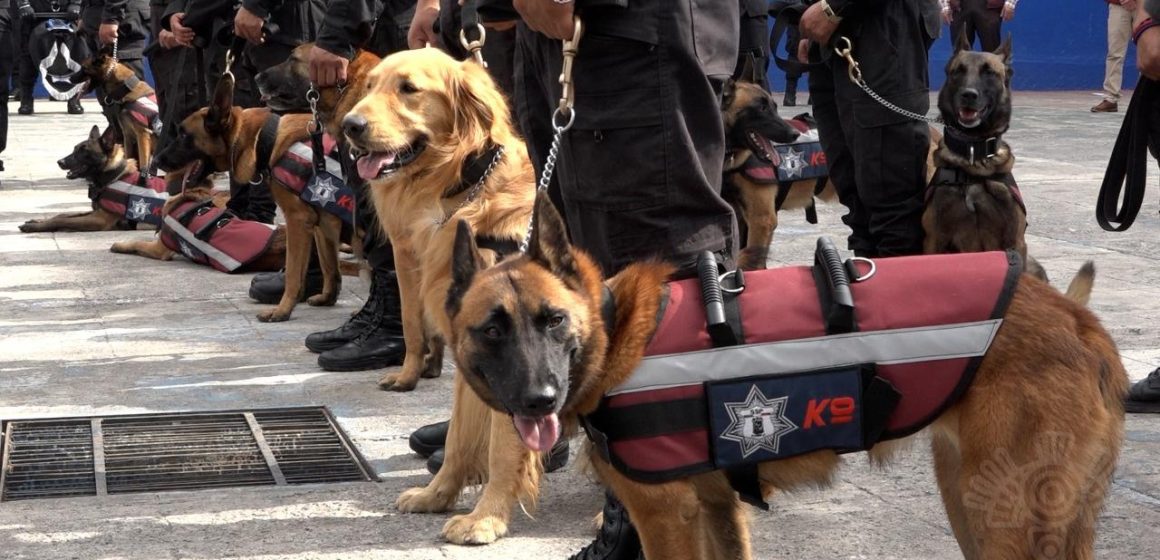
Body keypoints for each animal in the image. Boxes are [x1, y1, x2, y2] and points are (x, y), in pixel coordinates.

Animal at [19, 125, 169, 233]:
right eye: (74, 149)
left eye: (84, 151)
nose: (60, 162)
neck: (113, 176)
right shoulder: (95, 212)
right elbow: (62, 215)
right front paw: (38, 222)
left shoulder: (100, 219)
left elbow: (62, 220)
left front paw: (35, 227)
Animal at [151, 73, 338, 324]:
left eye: (183, 135)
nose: (156, 160)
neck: (265, 139)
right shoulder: (320, 222)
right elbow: (329, 266)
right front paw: (328, 297)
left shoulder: (298, 220)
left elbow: (292, 272)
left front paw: (282, 310)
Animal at [338, 47, 538, 542]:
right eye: (370, 85)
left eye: (409, 88)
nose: (349, 126)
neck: (463, 190)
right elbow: (458, 438)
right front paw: (437, 495)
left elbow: (503, 448)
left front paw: (486, 518)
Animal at [440, 192, 1122, 560]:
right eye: (492, 331)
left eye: (553, 320)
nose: (538, 400)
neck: (614, 331)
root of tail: (1078, 318)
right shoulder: (718, 510)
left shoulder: (665, 516)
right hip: (971, 503)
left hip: (1001, 517)